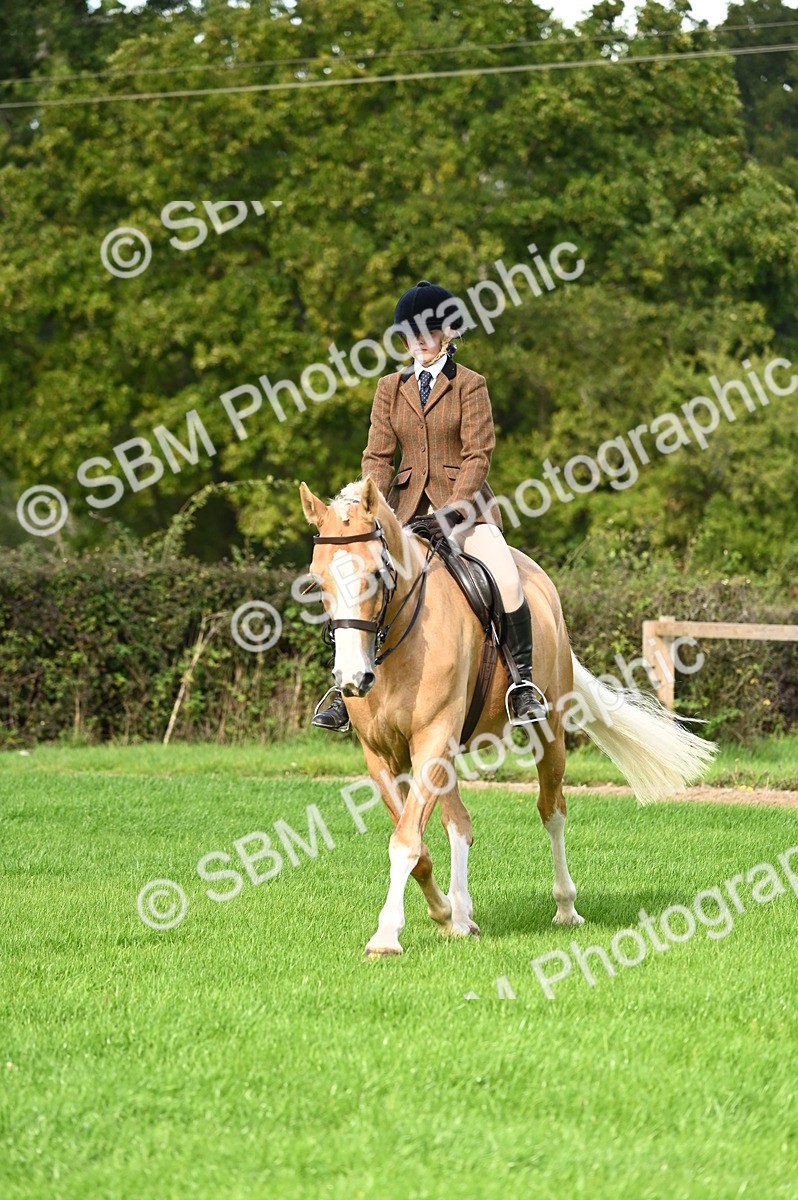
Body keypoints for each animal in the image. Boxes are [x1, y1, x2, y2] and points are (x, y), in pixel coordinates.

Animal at [300, 477, 716, 957]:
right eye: (319, 581)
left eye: (376, 574)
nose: (352, 679)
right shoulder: (381, 756)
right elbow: (418, 844)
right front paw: (444, 915)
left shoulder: (432, 739)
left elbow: (406, 841)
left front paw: (386, 935)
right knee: (460, 823)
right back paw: (461, 915)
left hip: (547, 732)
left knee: (552, 811)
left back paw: (565, 908)